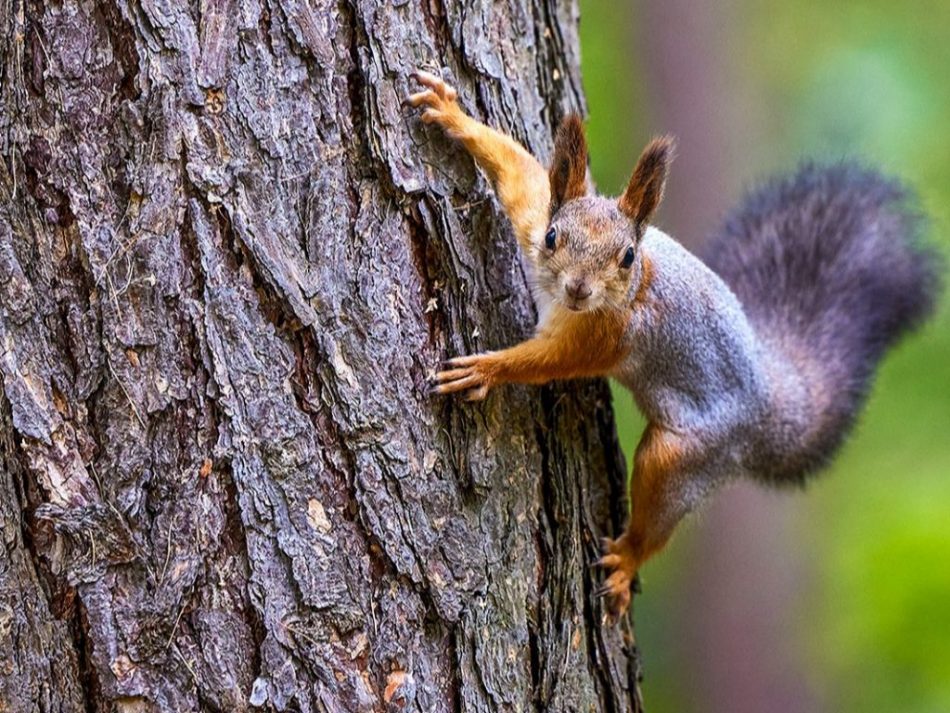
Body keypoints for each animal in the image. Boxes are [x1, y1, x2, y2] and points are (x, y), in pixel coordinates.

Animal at [410, 71, 944, 616]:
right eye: (555, 237)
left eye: (627, 256)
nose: (579, 289)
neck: (630, 287)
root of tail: (767, 402)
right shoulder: (534, 217)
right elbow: (520, 171)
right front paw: (452, 113)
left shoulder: (606, 335)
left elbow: (551, 360)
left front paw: (487, 369)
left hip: (690, 455)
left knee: (659, 504)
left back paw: (628, 558)